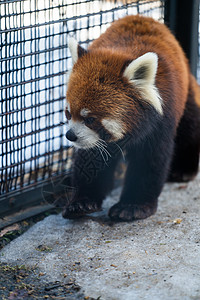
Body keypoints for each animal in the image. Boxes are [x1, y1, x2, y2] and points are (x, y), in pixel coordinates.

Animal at [62, 14, 200, 220]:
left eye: (90, 119)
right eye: (68, 113)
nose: (70, 135)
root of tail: (142, 16)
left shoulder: (160, 121)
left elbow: (149, 161)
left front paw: (132, 206)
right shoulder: (93, 139)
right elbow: (92, 159)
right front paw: (82, 202)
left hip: (186, 96)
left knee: (190, 126)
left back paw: (183, 170)